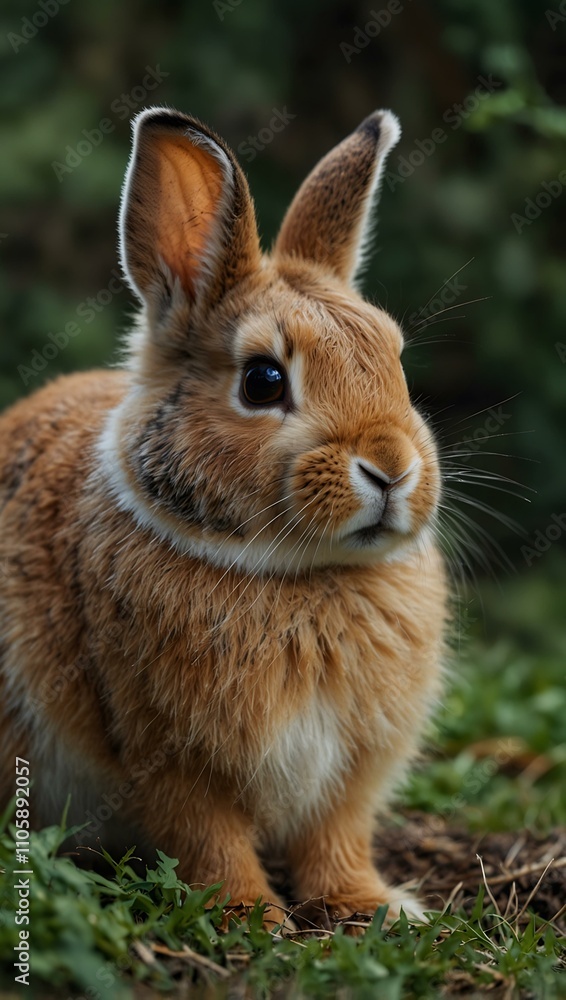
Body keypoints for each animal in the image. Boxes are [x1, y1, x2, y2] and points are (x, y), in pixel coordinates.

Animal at [0, 106, 446, 930]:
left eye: (395, 359)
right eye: (263, 380)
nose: (391, 467)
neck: (300, 576)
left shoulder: (351, 767)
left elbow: (337, 835)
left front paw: (372, 906)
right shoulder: (167, 757)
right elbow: (208, 838)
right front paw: (248, 916)